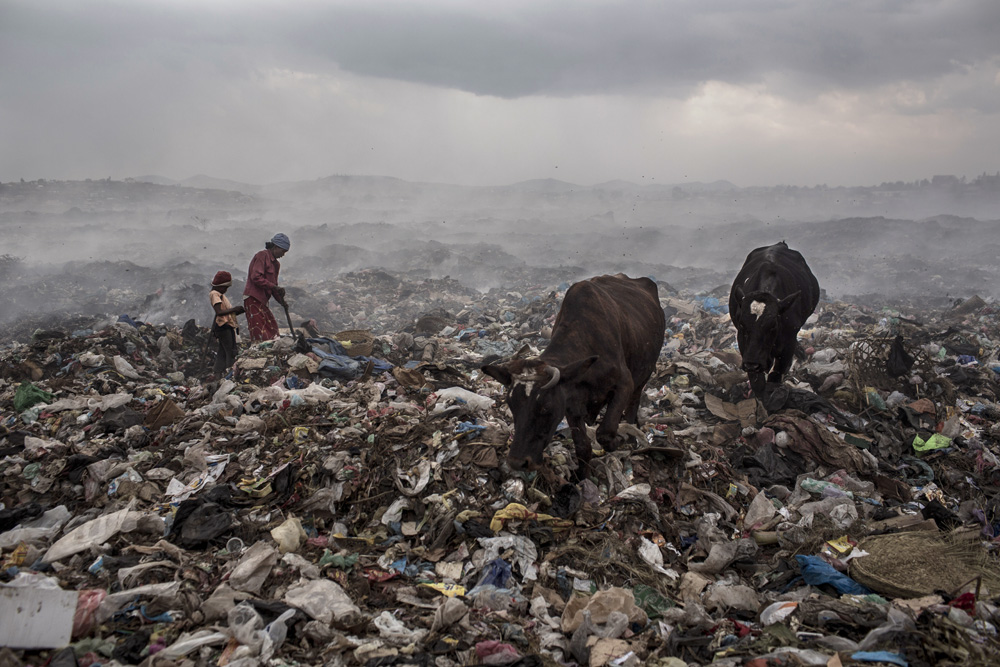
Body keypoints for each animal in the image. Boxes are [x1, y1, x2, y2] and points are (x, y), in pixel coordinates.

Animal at [482, 274, 664, 478]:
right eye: (511, 405)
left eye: (546, 407)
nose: (517, 462)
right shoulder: (571, 405)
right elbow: (583, 446)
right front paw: (582, 478)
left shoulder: (625, 384)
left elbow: (605, 432)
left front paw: (620, 438)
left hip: (645, 373)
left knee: (633, 404)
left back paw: (632, 438)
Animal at [728, 241, 820, 394]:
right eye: (742, 324)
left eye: (772, 325)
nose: (752, 365)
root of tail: (779, 244)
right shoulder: (744, 346)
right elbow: (757, 382)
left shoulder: (788, 344)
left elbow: (775, 376)